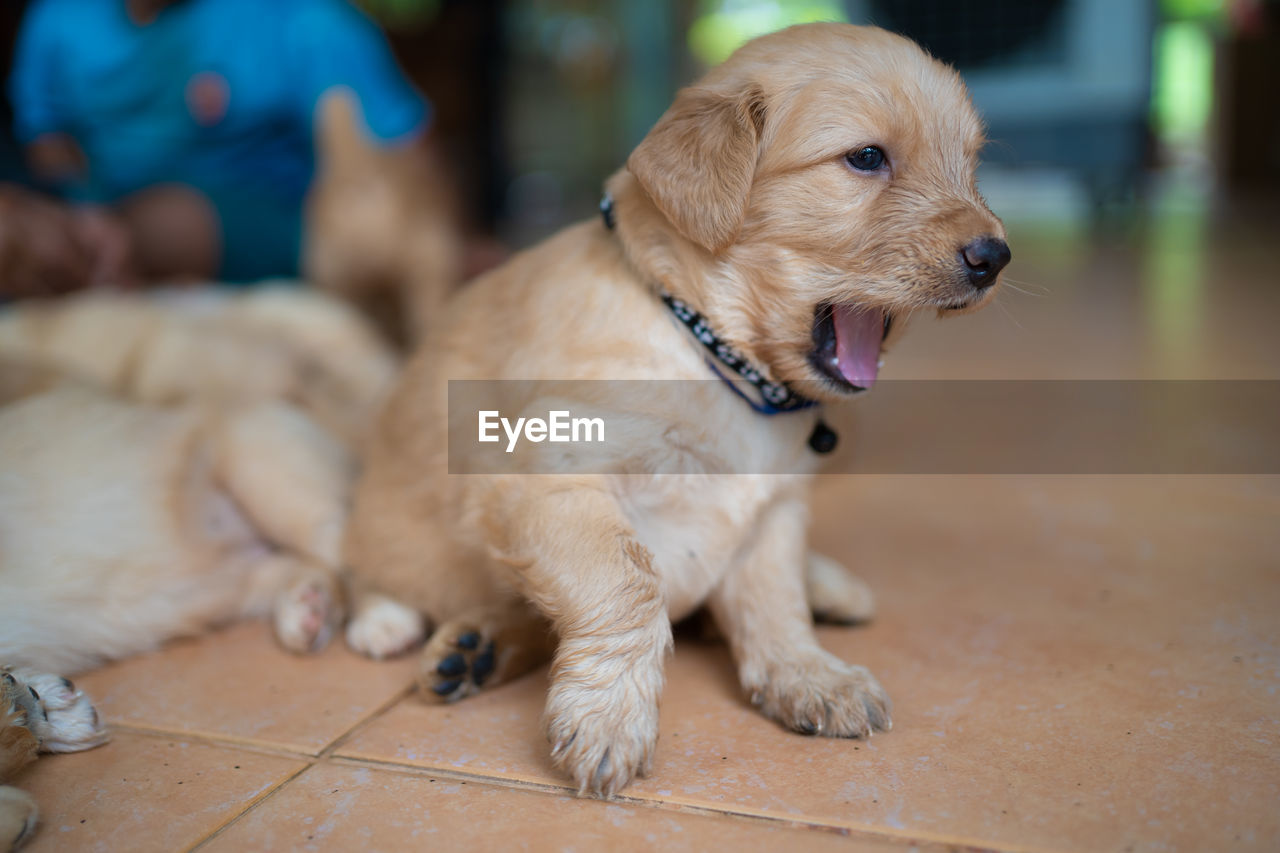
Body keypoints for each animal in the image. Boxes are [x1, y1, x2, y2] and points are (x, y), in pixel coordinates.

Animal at [343, 26, 1008, 799]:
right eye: (867, 158)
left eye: (970, 163)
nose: (996, 256)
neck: (713, 352)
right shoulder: (545, 477)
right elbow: (628, 580)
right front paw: (609, 717)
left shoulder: (774, 509)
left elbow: (774, 599)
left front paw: (807, 674)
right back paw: (417, 630)